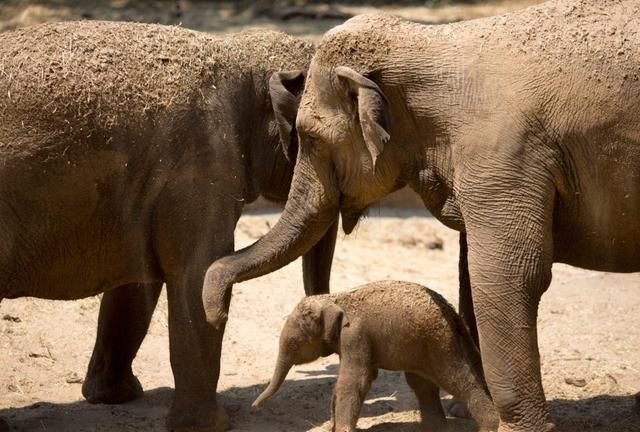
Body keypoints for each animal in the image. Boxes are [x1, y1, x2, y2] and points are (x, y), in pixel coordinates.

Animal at [0, 22, 340, 432]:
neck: (239, 54)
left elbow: (137, 281)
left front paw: (116, 396)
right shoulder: (202, 164)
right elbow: (196, 277)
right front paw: (210, 426)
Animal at [252, 282, 498, 430]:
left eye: (295, 343)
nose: (255, 406)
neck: (336, 298)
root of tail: (452, 313)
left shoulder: (355, 336)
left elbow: (355, 381)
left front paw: (342, 429)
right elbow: (358, 378)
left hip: (440, 344)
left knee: (457, 380)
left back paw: (491, 426)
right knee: (422, 384)